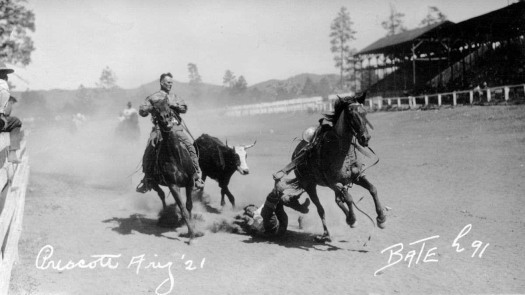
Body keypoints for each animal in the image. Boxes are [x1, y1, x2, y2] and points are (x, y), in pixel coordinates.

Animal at [142, 98, 200, 244]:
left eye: (169, 107)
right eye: (155, 110)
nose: (167, 122)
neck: (175, 157)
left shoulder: (190, 182)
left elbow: (189, 206)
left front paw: (193, 231)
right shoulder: (173, 185)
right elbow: (182, 209)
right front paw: (191, 235)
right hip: (153, 182)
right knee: (161, 195)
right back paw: (164, 217)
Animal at [290, 93, 384, 243]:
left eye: (365, 112)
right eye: (351, 115)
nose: (365, 138)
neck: (342, 152)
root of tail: (295, 154)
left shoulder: (357, 177)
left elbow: (373, 189)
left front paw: (381, 218)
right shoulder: (334, 183)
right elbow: (349, 198)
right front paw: (353, 219)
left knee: (338, 200)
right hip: (309, 186)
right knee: (321, 209)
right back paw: (326, 233)